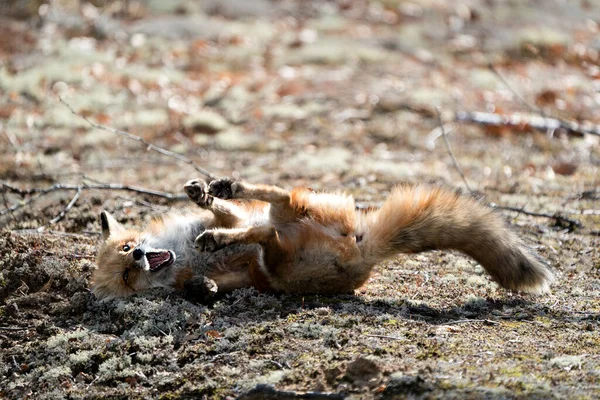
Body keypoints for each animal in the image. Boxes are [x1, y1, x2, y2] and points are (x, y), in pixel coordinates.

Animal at [91, 177, 556, 300]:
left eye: (127, 247)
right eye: (127, 277)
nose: (139, 257)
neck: (183, 255)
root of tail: (363, 253)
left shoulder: (227, 218)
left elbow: (225, 212)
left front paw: (205, 197)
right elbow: (209, 284)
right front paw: (203, 287)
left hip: (293, 218)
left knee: (276, 201)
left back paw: (225, 190)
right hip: (279, 262)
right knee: (268, 230)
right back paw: (219, 237)